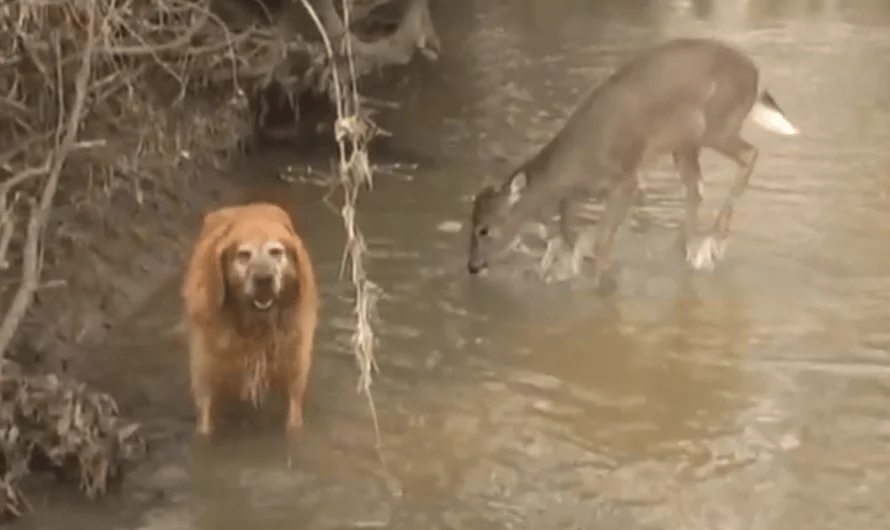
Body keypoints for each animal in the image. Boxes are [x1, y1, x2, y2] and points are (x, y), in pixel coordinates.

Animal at [181, 202, 320, 438]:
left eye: (276, 252)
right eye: (243, 255)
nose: (263, 279)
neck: (255, 329)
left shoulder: (294, 376)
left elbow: (293, 422)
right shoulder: (205, 379)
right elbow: (205, 426)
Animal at [464, 36, 796, 288]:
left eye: (484, 229)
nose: (472, 266)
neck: (571, 169)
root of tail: (756, 75)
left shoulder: (625, 179)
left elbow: (599, 239)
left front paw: (600, 282)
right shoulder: (578, 196)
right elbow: (572, 233)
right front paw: (567, 268)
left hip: (718, 123)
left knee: (748, 155)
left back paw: (711, 244)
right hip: (685, 143)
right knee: (696, 186)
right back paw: (685, 250)